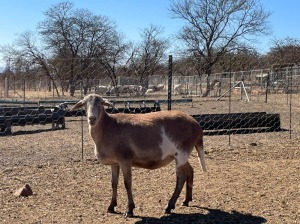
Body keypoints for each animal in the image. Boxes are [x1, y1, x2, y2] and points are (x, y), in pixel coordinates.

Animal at [70, 94, 206, 217]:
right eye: (84, 104)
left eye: (101, 104)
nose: (92, 118)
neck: (108, 127)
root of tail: (196, 124)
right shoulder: (115, 163)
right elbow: (114, 183)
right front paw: (111, 207)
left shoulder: (125, 160)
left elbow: (127, 183)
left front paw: (130, 210)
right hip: (180, 155)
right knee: (190, 171)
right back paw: (186, 200)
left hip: (182, 152)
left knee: (180, 179)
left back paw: (169, 206)